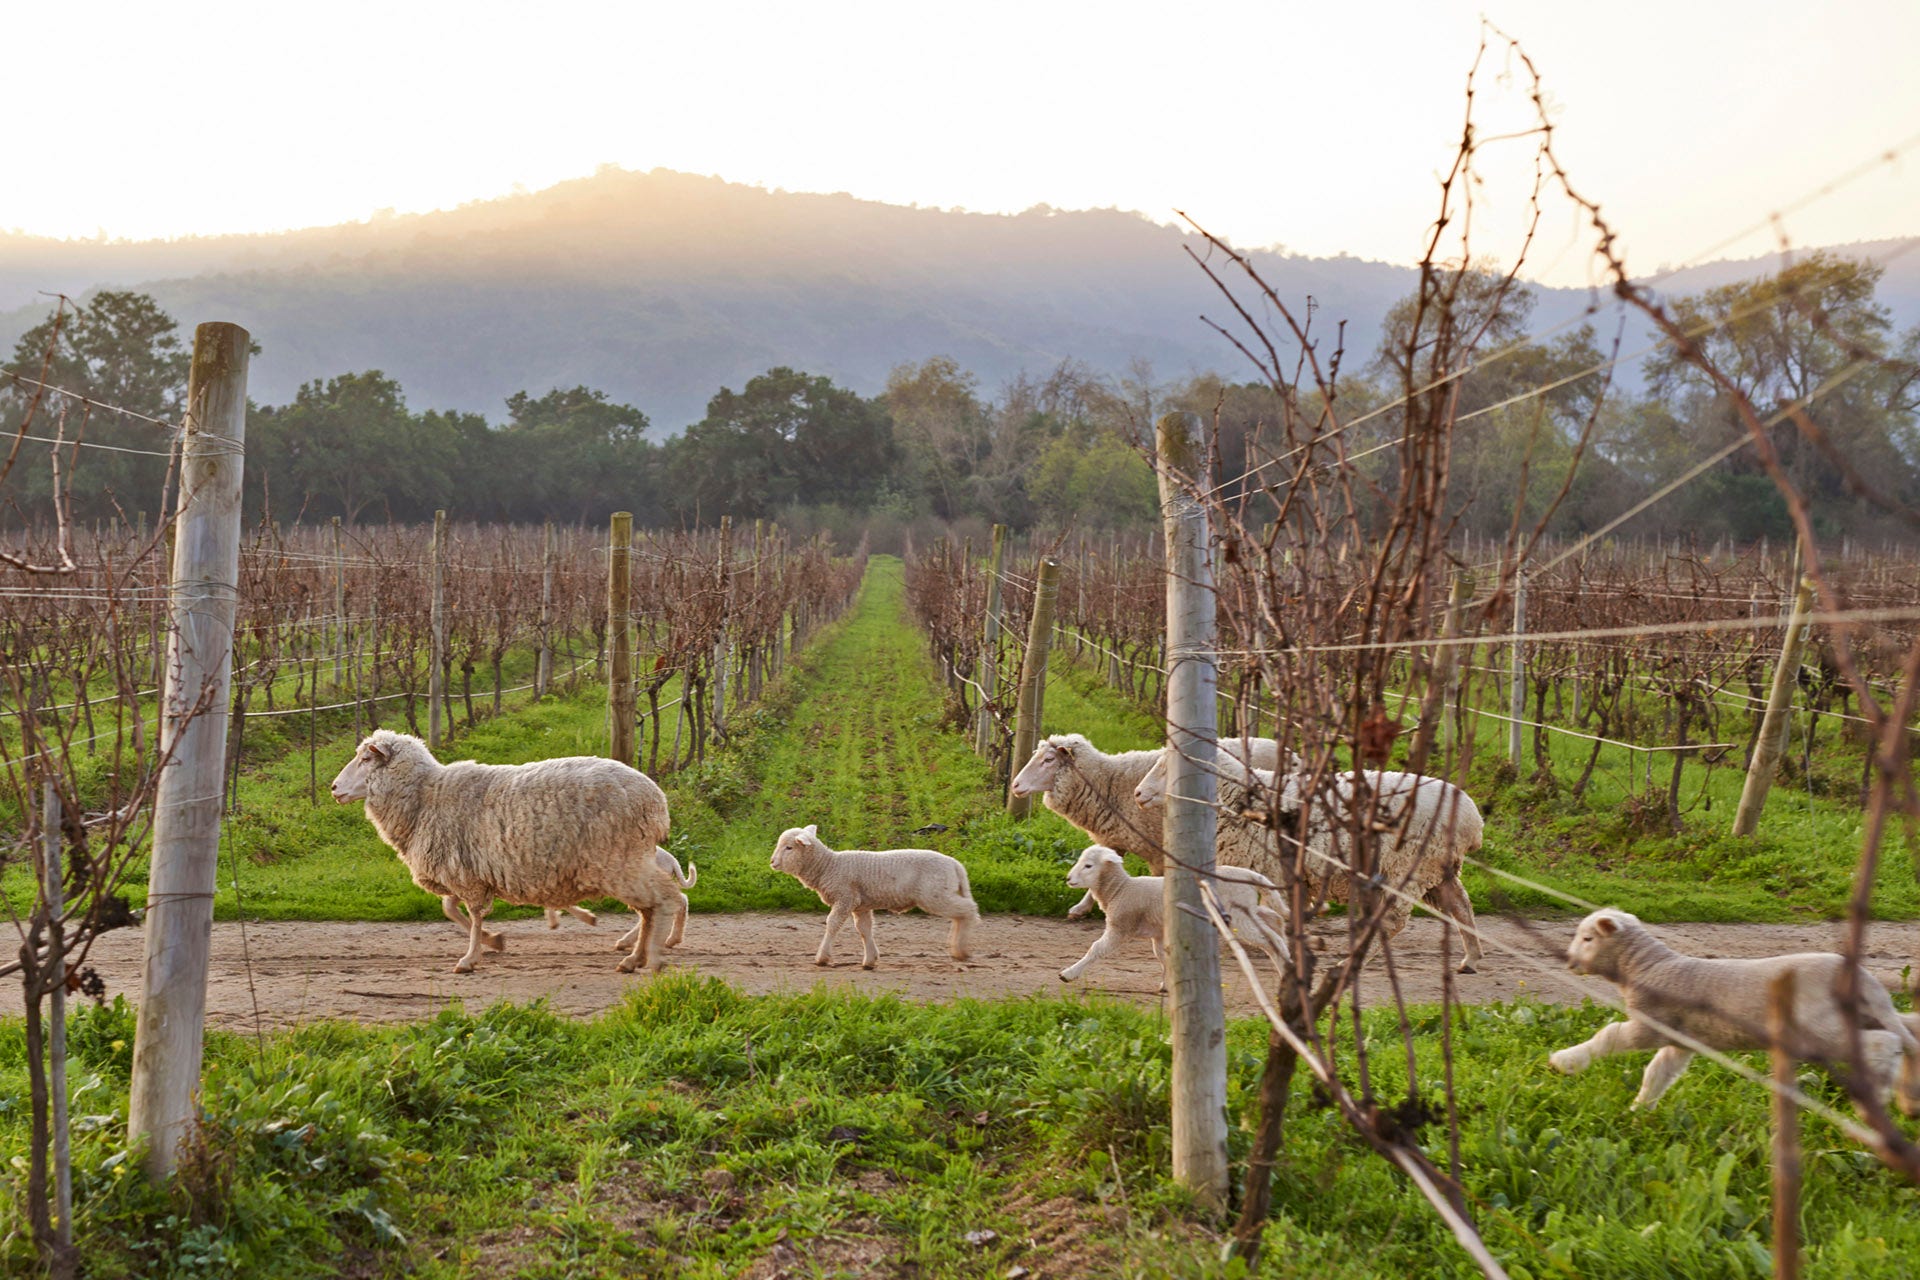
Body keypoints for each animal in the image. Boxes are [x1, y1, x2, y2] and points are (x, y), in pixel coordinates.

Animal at [334, 729, 679, 971]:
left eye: (366, 760)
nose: (334, 788)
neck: (425, 797)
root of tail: (657, 801)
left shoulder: (466, 874)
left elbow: (472, 915)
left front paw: (470, 958)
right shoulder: (463, 869)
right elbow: (450, 909)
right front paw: (494, 941)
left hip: (619, 860)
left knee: (665, 899)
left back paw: (655, 956)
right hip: (626, 860)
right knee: (649, 909)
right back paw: (634, 959)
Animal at [764, 825, 975, 967]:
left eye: (789, 848)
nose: (772, 862)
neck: (828, 866)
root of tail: (956, 865)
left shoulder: (845, 898)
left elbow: (832, 924)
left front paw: (822, 958)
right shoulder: (860, 905)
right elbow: (864, 929)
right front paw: (870, 959)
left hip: (935, 894)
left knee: (968, 910)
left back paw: (961, 950)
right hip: (941, 892)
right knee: (961, 914)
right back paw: (958, 948)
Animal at [1059, 844, 1297, 990]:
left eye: (1088, 865)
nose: (1068, 879)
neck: (1121, 889)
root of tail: (1249, 874)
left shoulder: (1120, 927)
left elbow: (1096, 949)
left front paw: (1069, 973)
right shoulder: (1157, 932)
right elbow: (1163, 957)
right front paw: (1168, 986)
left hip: (1238, 916)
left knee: (1270, 940)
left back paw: (1285, 963)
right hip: (1247, 909)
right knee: (1274, 919)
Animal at [1136, 752, 1482, 971]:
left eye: (1167, 768)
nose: (1138, 794)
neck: (1234, 796)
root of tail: (1472, 817)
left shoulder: (1272, 870)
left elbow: (1280, 914)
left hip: (1408, 869)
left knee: (1393, 921)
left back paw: (1351, 962)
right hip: (1437, 869)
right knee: (1461, 905)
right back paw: (1471, 958)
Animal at [1543, 905, 1920, 1113]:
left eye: (1588, 939)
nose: (1569, 962)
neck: (1646, 967)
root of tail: (1866, 983)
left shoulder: (1651, 1024)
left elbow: (1609, 1035)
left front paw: (1566, 1061)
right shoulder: (1682, 1040)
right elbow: (1658, 1073)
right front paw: (1640, 1110)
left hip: (1818, 1031)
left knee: (1886, 1042)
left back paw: (1879, 1092)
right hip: (1860, 1018)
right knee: (1906, 1040)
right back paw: (1903, 1098)